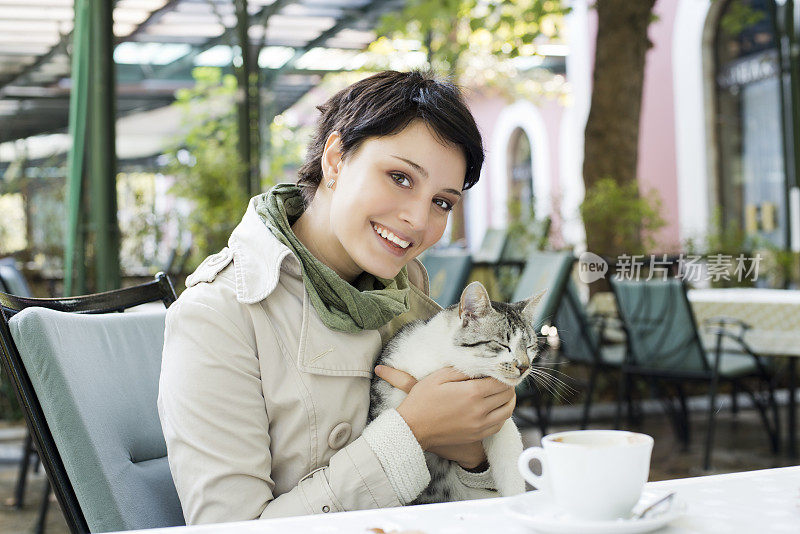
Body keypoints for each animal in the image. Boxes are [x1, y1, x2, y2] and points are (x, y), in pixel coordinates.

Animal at [368, 280, 544, 506]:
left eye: (530, 346)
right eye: (502, 344)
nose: (524, 366)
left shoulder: (501, 421)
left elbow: (510, 455)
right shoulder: (388, 385)